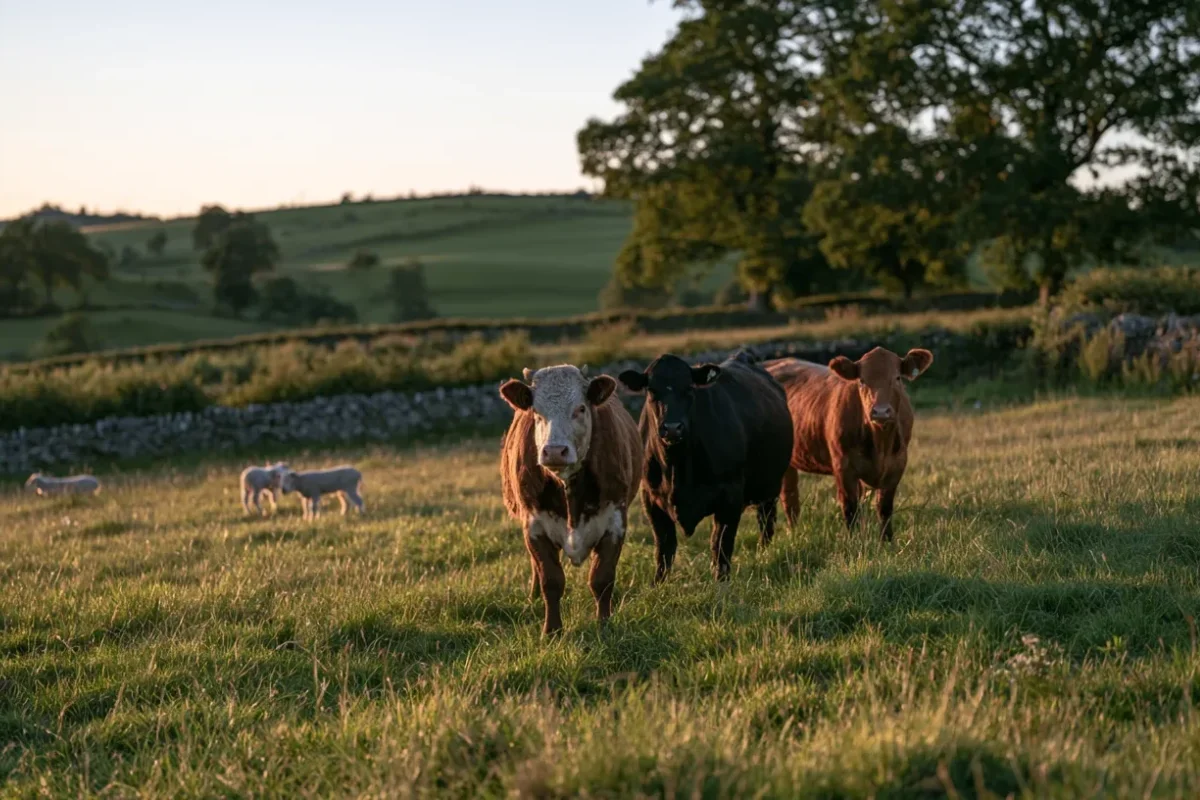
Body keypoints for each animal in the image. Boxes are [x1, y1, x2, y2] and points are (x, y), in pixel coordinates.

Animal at [499, 364, 641, 636]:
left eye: (581, 409)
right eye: (536, 412)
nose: (555, 451)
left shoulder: (615, 521)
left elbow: (602, 579)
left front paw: (604, 624)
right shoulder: (534, 525)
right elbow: (551, 580)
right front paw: (551, 631)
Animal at [618, 350, 793, 583]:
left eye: (689, 388)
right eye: (651, 390)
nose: (672, 428)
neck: (677, 469)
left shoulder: (730, 494)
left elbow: (720, 544)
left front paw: (721, 582)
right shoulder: (651, 497)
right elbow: (663, 546)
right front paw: (658, 583)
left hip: (770, 486)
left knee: (766, 520)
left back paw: (764, 552)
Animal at [765, 346, 933, 541]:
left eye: (897, 378)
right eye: (862, 380)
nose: (881, 411)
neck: (880, 443)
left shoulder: (897, 465)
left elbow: (884, 508)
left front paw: (887, 541)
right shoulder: (844, 467)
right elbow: (850, 509)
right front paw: (854, 541)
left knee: (791, 497)